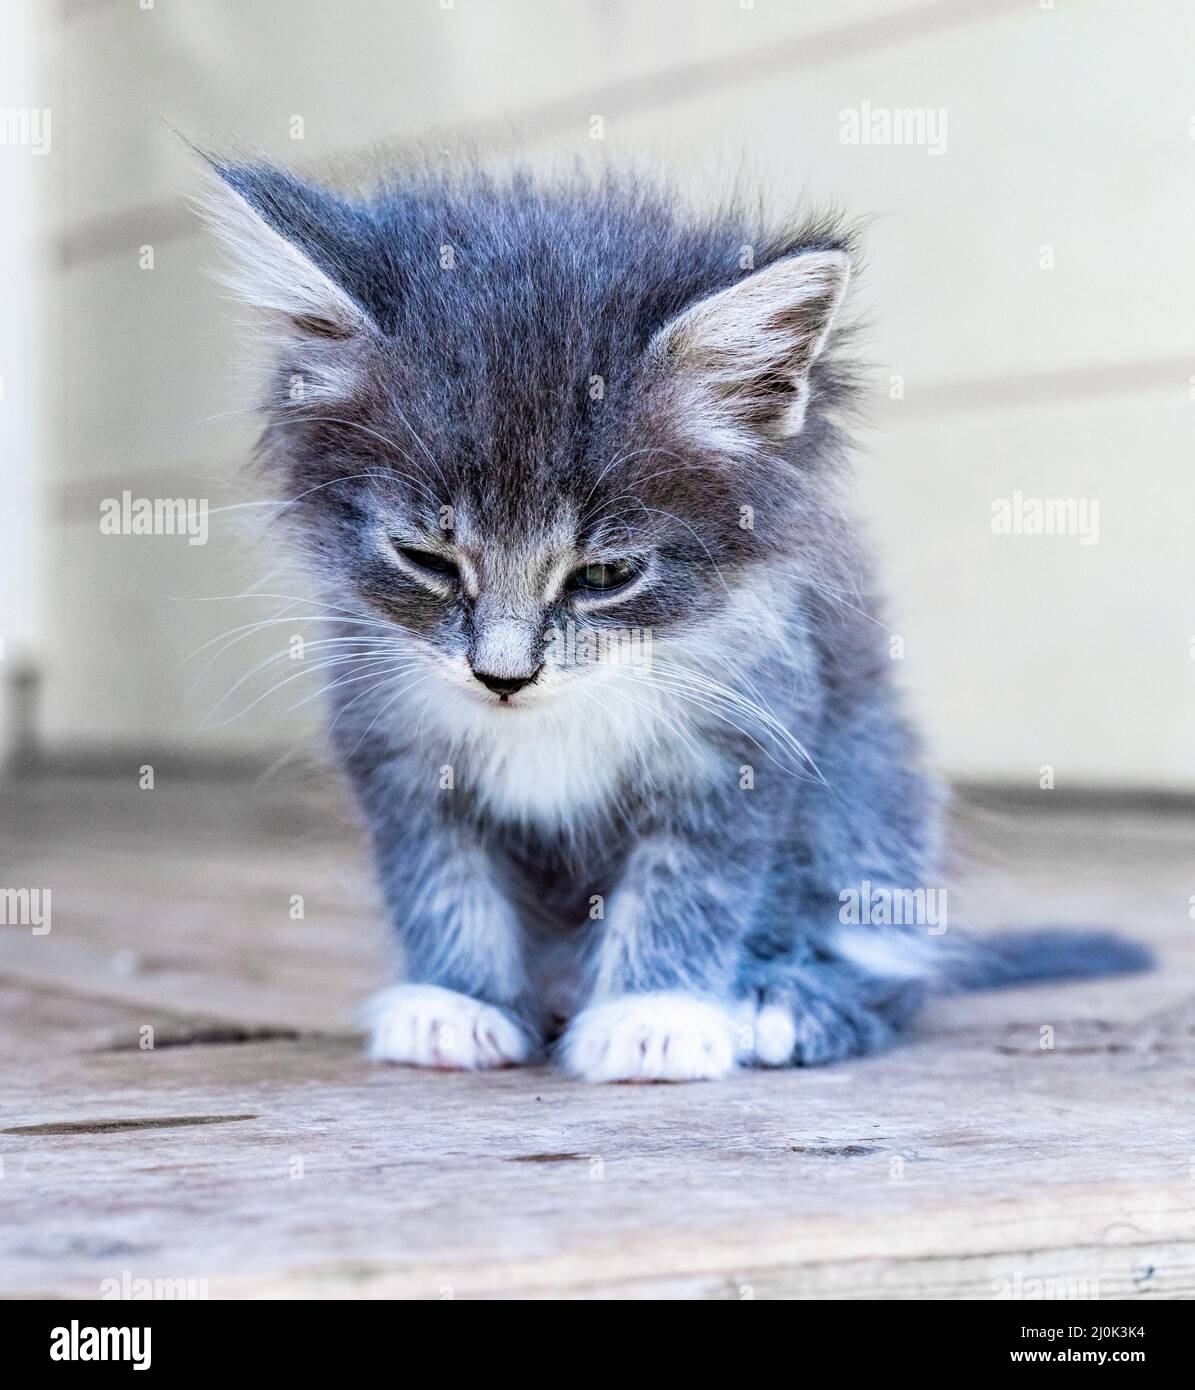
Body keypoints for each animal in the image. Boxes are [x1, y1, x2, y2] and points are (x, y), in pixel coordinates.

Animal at [195, 159, 1150, 1073]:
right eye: (425, 559)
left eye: (605, 574)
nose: (502, 676)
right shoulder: (392, 738)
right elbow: (440, 877)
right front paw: (455, 1000)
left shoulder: (745, 736)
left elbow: (689, 885)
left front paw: (652, 1015)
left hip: (873, 786)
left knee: (893, 961)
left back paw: (785, 1002)